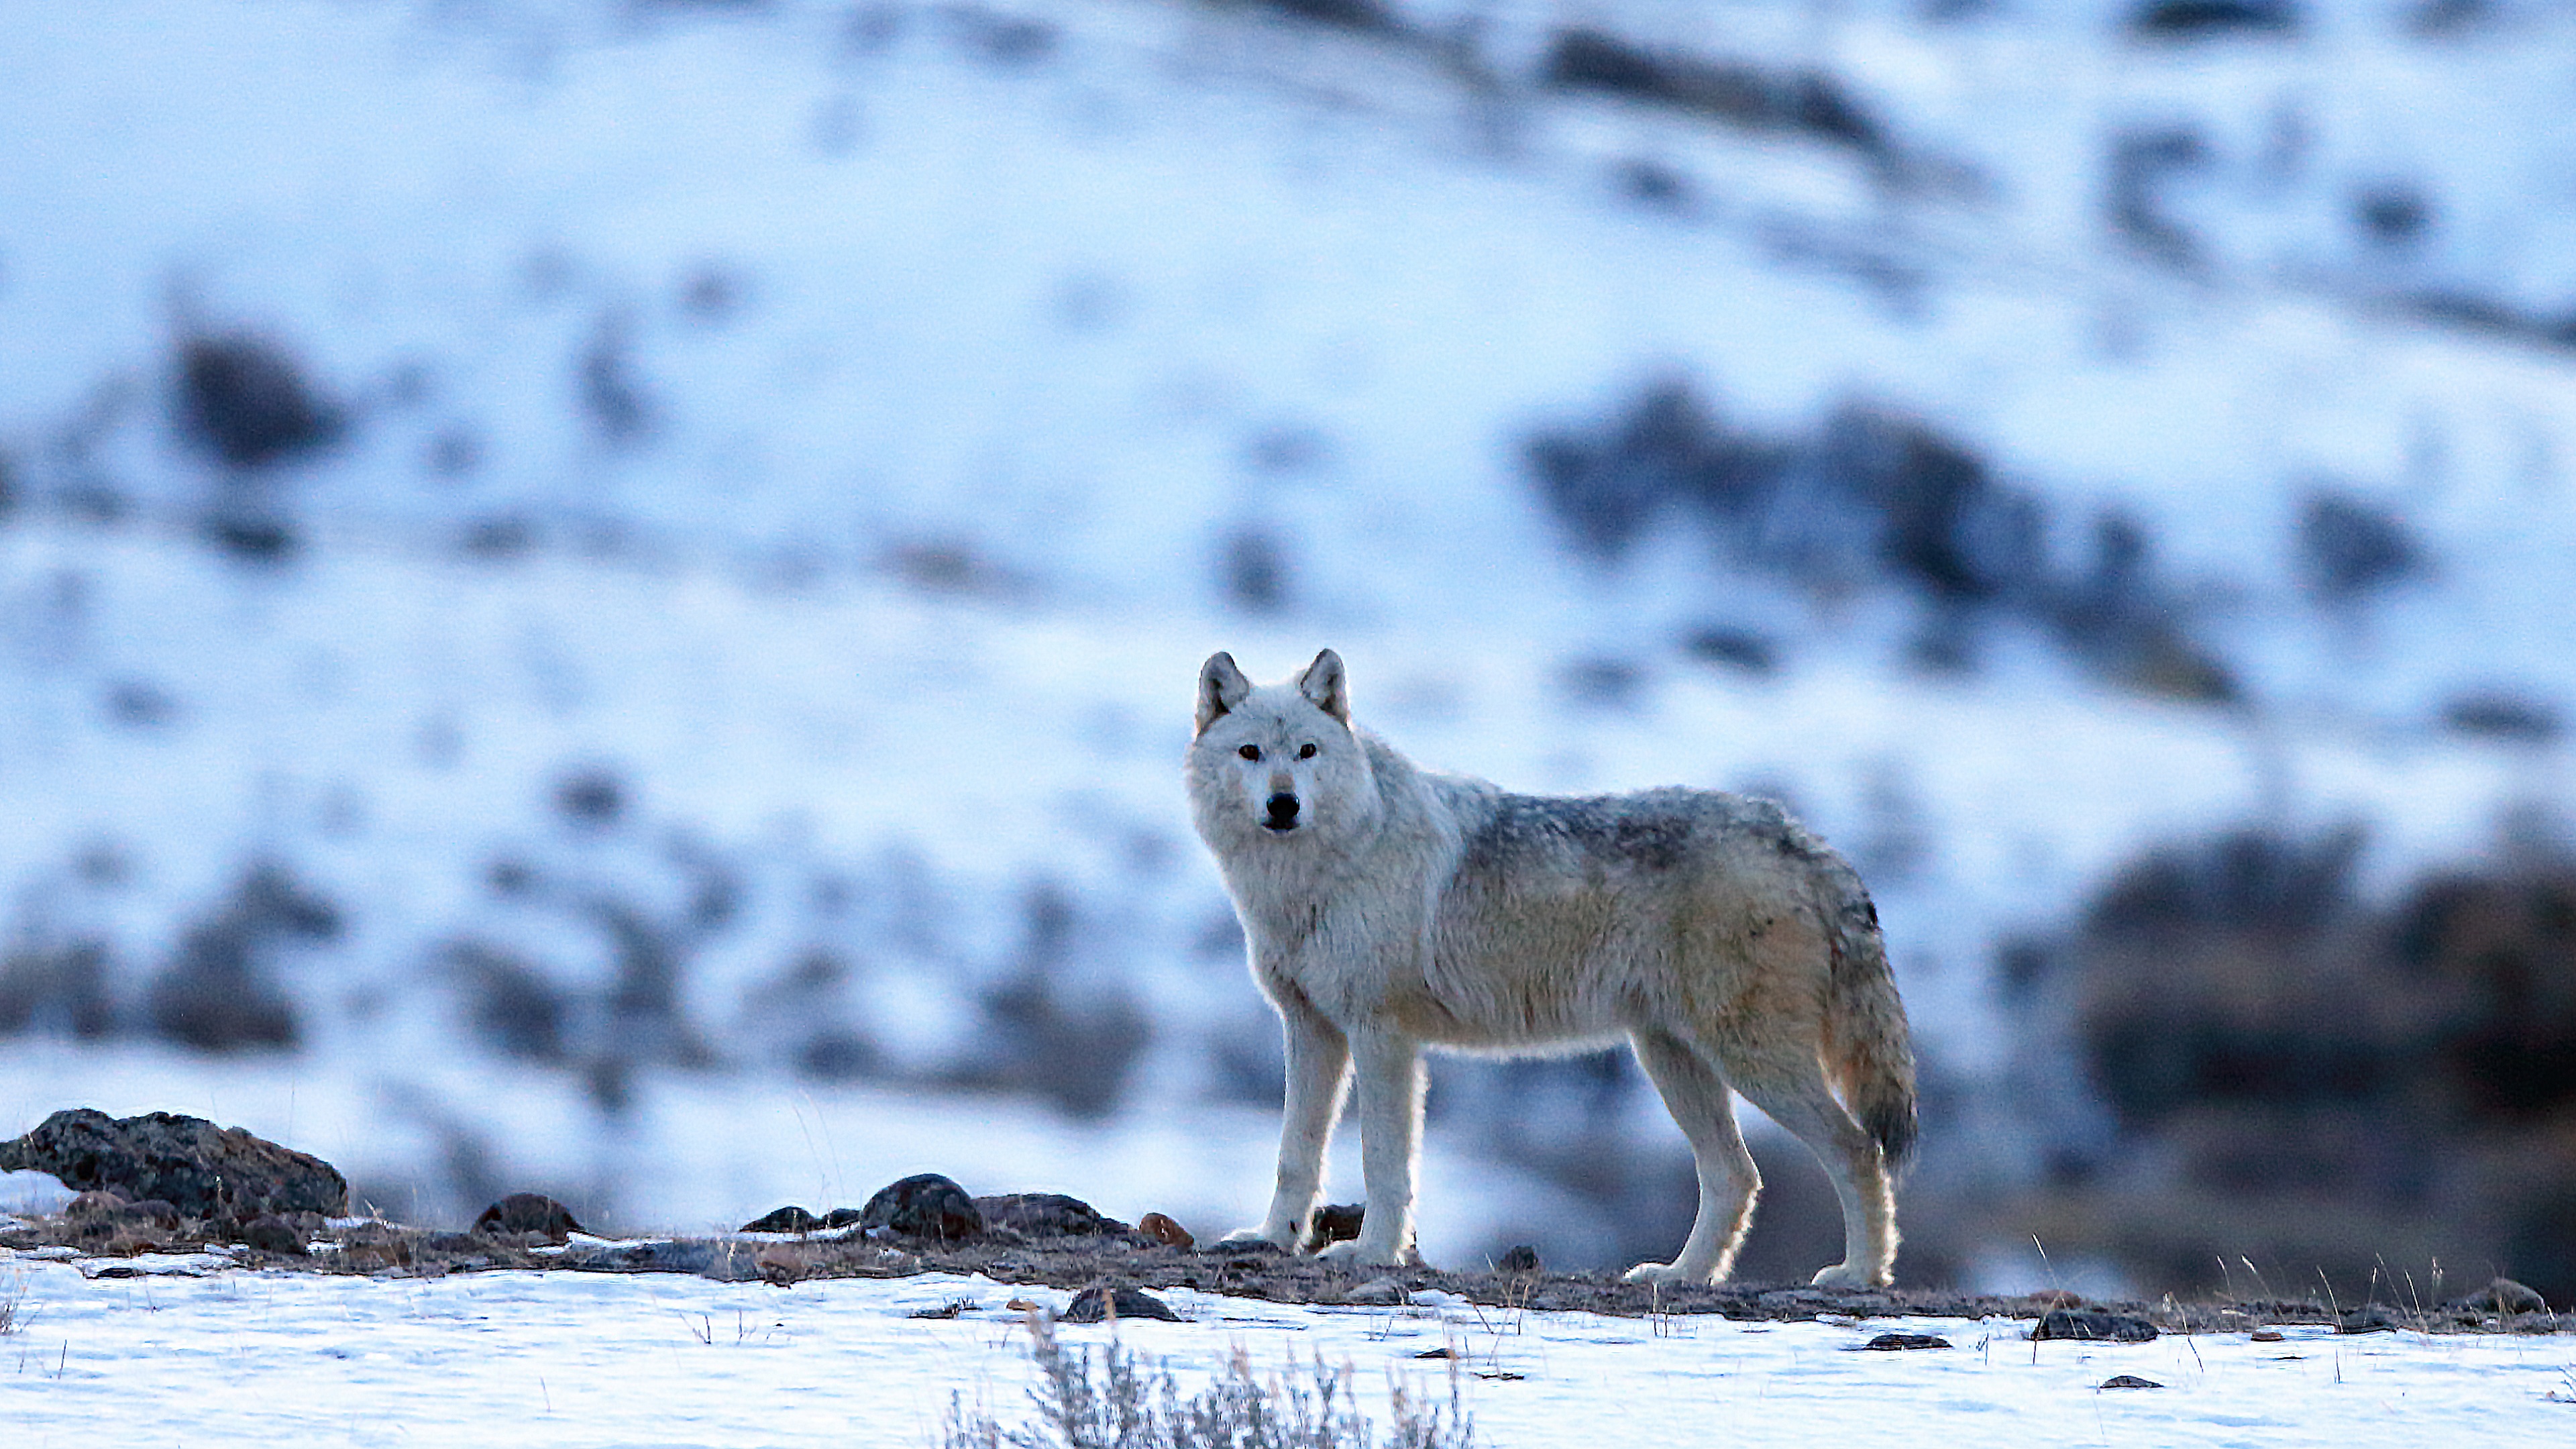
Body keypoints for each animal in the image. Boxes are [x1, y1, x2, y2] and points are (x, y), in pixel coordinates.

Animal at [1186, 649, 1916, 1286]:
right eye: (1251, 754)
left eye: (1307, 753)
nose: (1284, 805)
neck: (1316, 874)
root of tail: (1805, 841)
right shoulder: (1311, 1029)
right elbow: (1295, 1155)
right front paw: (1273, 1238)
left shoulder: (1382, 1036)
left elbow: (1383, 1161)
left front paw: (1371, 1254)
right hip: (1672, 1059)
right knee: (1738, 1176)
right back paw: (1681, 1276)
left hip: (1748, 1061)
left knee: (1856, 1151)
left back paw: (1860, 1275)